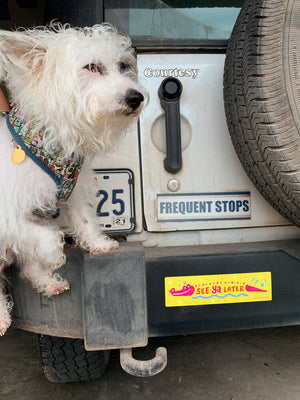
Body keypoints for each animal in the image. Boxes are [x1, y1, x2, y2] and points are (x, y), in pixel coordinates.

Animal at [0, 21, 146, 334]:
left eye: (122, 66)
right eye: (92, 67)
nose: (136, 97)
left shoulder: (72, 195)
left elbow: (83, 221)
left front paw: (99, 244)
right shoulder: (8, 215)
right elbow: (43, 235)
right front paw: (54, 254)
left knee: (28, 268)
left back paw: (49, 284)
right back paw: (3, 317)